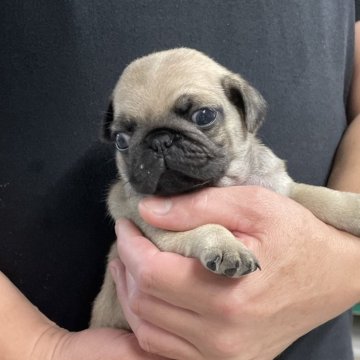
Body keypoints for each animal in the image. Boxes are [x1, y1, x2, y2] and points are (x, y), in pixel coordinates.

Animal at [89, 47, 360, 330]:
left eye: (204, 116)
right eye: (121, 140)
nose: (159, 140)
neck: (221, 182)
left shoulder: (279, 188)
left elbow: (319, 195)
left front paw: (354, 208)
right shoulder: (159, 231)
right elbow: (206, 227)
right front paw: (226, 246)